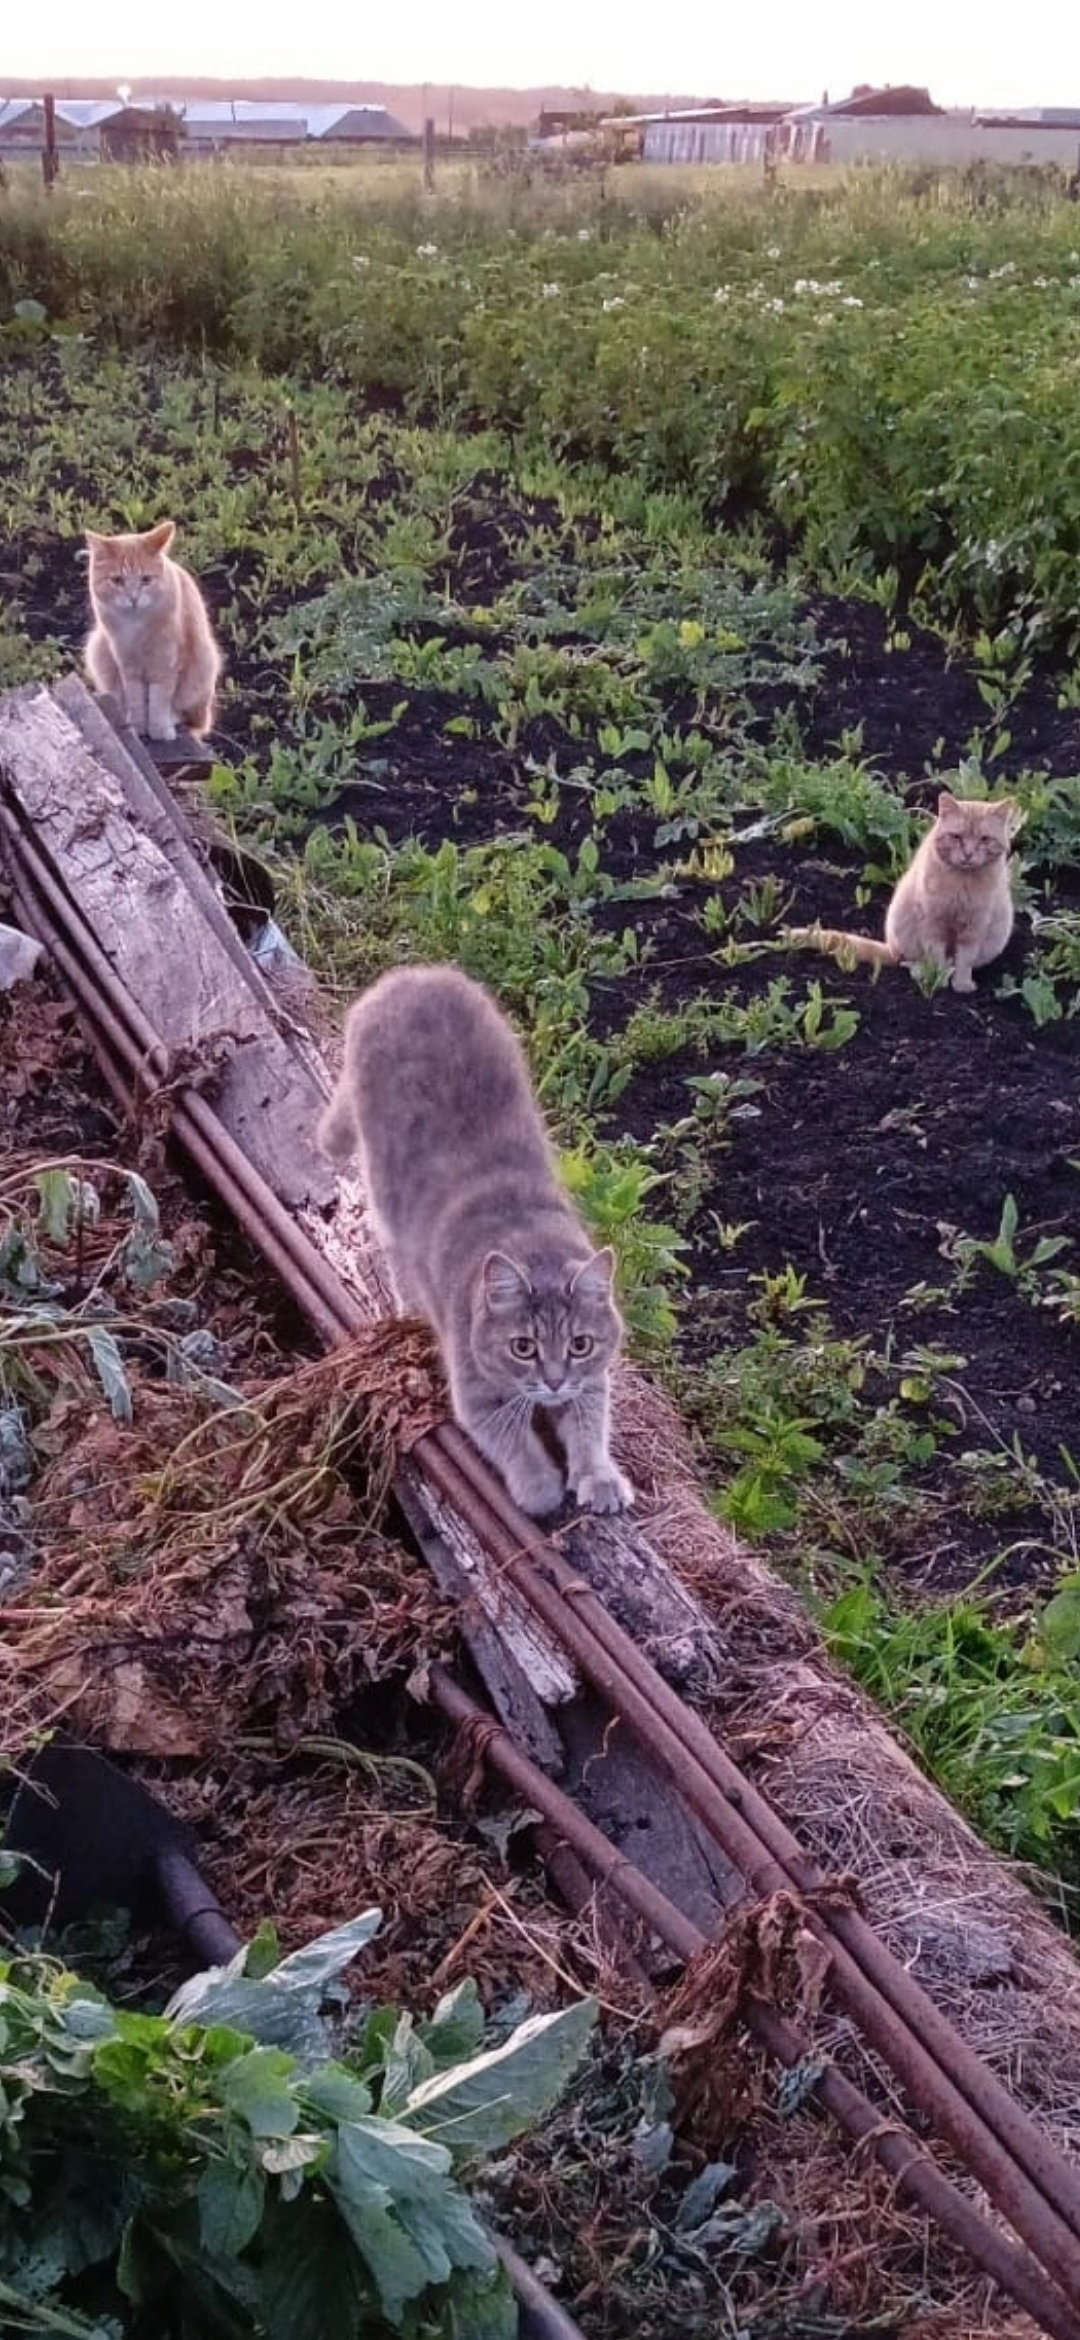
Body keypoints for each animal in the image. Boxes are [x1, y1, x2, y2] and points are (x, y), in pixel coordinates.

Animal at [82, 521, 223, 739]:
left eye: (146, 579)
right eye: (117, 581)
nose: (133, 598)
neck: (137, 626)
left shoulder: (166, 662)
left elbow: (160, 699)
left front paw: (159, 728)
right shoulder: (127, 664)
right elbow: (136, 698)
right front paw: (139, 726)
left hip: (204, 665)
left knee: (188, 716)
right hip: (98, 649)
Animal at [315, 964, 635, 1525]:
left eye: (580, 1344)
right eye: (523, 1347)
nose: (554, 1381)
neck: (531, 1239)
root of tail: (407, 976)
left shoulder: (592, 1380)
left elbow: (590, 1428)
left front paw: (599, 1478)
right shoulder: (476, 1393)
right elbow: (515, 1442)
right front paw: (539, 1487)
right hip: (384, 1194)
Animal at [785, 795, 1019, 996]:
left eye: (985, 839)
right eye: (956, 837)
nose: (968, 854)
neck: (962, 882)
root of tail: (890, 947)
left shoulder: (974, 928)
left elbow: (965, 960)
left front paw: (961, 983)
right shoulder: (932, 924)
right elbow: (936, 956)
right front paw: (939, 980)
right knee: (906, 961)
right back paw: (920, 971)